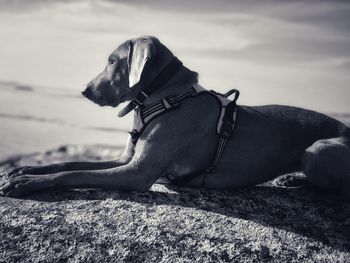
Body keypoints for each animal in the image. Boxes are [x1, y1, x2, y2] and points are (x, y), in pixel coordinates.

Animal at [0, 36, 350, 198]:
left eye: (113, 61)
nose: (85, 90)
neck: (164, 97)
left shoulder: (137, 173)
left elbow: (71, 174)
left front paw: (26, 183)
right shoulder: (127, 159)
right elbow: (70, 163)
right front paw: (26, 169)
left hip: (318, 150)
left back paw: (299, 182)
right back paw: (292, 178)